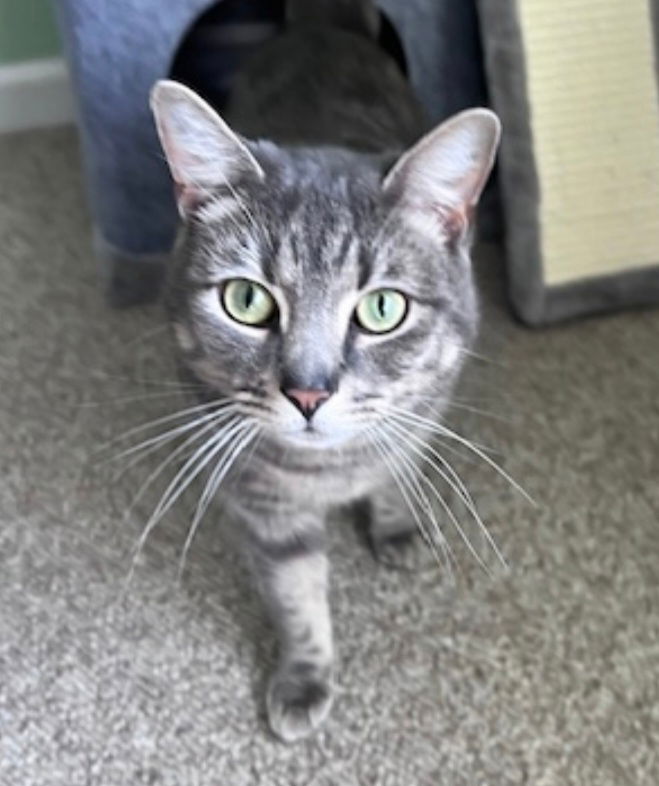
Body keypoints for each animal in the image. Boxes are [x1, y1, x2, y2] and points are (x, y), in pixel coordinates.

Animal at [150, 0, 500, 740]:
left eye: (382, 308)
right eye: (246, 300)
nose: (307, 393)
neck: (331, 473)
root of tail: (319, 23)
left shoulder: (420, 414)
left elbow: (396, 467)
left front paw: (393, 521)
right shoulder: (263, 503)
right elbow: (296, 598)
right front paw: (305, 677)